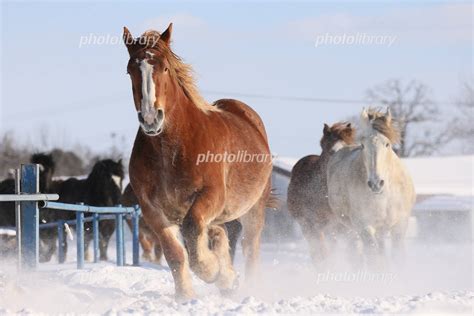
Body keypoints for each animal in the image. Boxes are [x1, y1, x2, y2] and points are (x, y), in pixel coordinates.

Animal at [124, 24, 272, 298]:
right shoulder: (152, 210)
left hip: (254, 208)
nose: (151, 119)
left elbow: (192, 230)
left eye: (165, 68)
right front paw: (186, 296)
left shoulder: (210, 195)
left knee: (250, 248)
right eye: (130, 70)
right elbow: (175, 253)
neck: (170, 150)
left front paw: (211, 271)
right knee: (219, 233)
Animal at [326, 107, 414, 262]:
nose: (376, 183)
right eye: (363, 145)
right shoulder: (365, 227)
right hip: (352, 230)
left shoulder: (400, 225)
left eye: (387, 144)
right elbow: (375, 260)